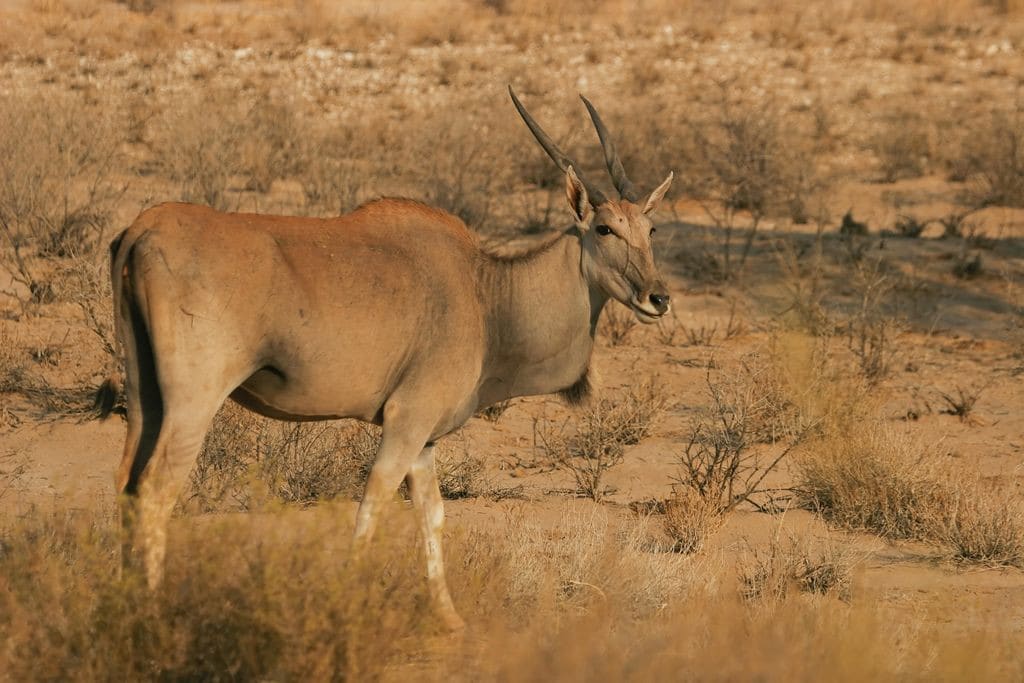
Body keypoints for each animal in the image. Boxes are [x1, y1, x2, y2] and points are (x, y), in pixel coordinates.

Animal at [103, 88, 675, 634]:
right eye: (604, 229)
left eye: (651, 230)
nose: (659, 298)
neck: (486, 293)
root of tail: (141, 230)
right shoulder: (406, 422)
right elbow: (372, 508)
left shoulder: (424, 440)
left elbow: (432, 515)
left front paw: (449, 618)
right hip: (193, 402)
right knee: (155, 491)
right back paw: (151, 617)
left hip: (146, 396)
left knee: (128, 484)